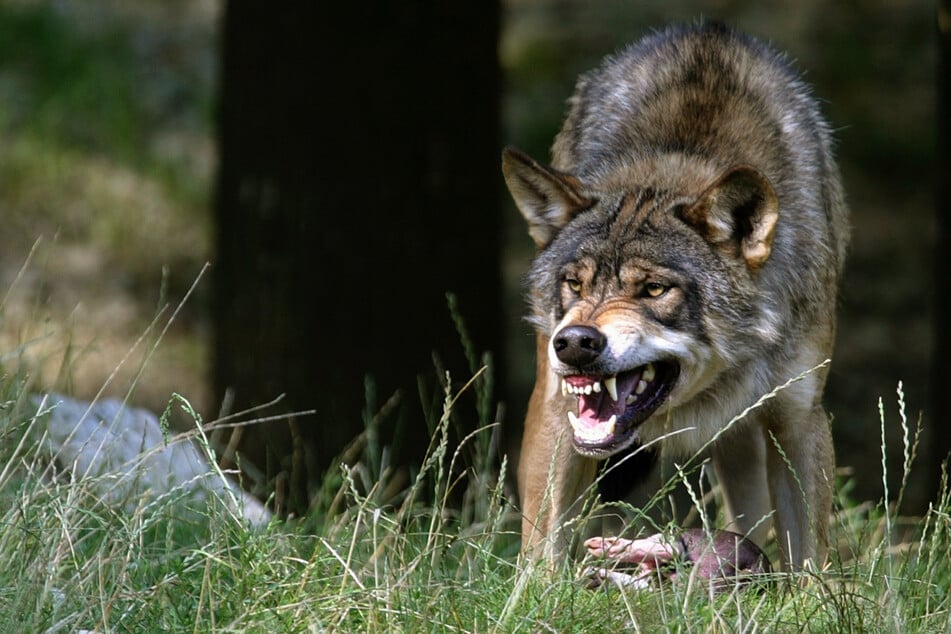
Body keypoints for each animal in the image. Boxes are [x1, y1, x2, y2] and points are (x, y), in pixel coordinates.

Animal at [506, 23, 848, 568]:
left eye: (653, 289)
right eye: (575, 284)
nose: (575, 342)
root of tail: (707, 30)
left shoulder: (798, 418)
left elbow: (809, 558)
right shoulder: (557, 412)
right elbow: (542, 549)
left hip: (746, 442)